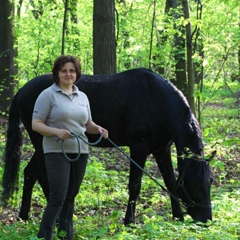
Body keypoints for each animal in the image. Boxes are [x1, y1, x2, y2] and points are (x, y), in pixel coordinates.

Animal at [1, 68, 213, 225]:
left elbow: (170, 182)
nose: (206, 219)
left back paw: (24, 215)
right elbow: (135, 185)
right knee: (43, 176)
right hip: (43, 142)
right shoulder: (139, 148)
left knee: (30, 173)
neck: (157, 101)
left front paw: (178, 216)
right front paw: (129, 221)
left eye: (210, 181)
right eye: (194, 183)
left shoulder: (162, 150)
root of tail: (22, 91)